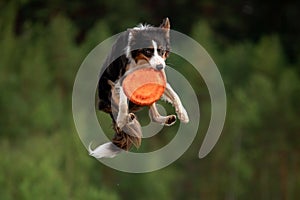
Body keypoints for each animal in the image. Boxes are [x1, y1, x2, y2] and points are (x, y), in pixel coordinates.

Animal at [88, 18, 188, 158]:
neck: (142, 62)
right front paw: (122, 119)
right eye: (148, 51)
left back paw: (166, 119)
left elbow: (174, 95)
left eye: (161, 51)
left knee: (153, 116)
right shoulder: (123, 78)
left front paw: (183, 114)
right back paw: (125, 119)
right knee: (117, 112)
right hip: (108, 88)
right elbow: (123, 104)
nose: (160, 67)